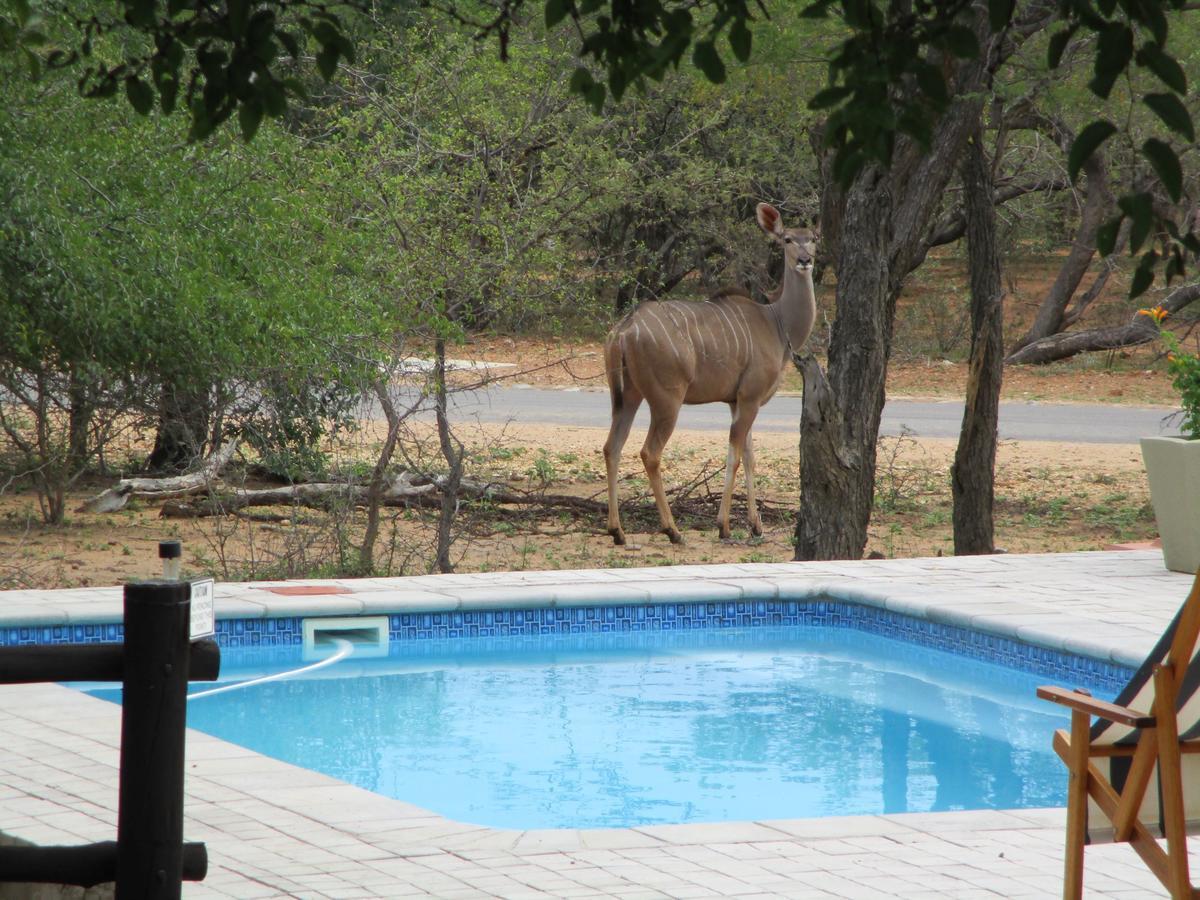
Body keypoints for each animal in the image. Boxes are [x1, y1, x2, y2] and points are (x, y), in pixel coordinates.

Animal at [604, 202, 820, 542]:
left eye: (813, 238)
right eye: (787, 239)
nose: (805, 261)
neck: (776, 322)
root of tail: (624, 330)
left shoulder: (736, 401)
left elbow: (749, 455)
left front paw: (756, 525)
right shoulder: (750, 398)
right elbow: (735, 455)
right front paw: (724, 526)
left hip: (628, 396)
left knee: (612, 447)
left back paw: (617, 531)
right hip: (667, 399)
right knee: (649, 452)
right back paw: (672, 530)